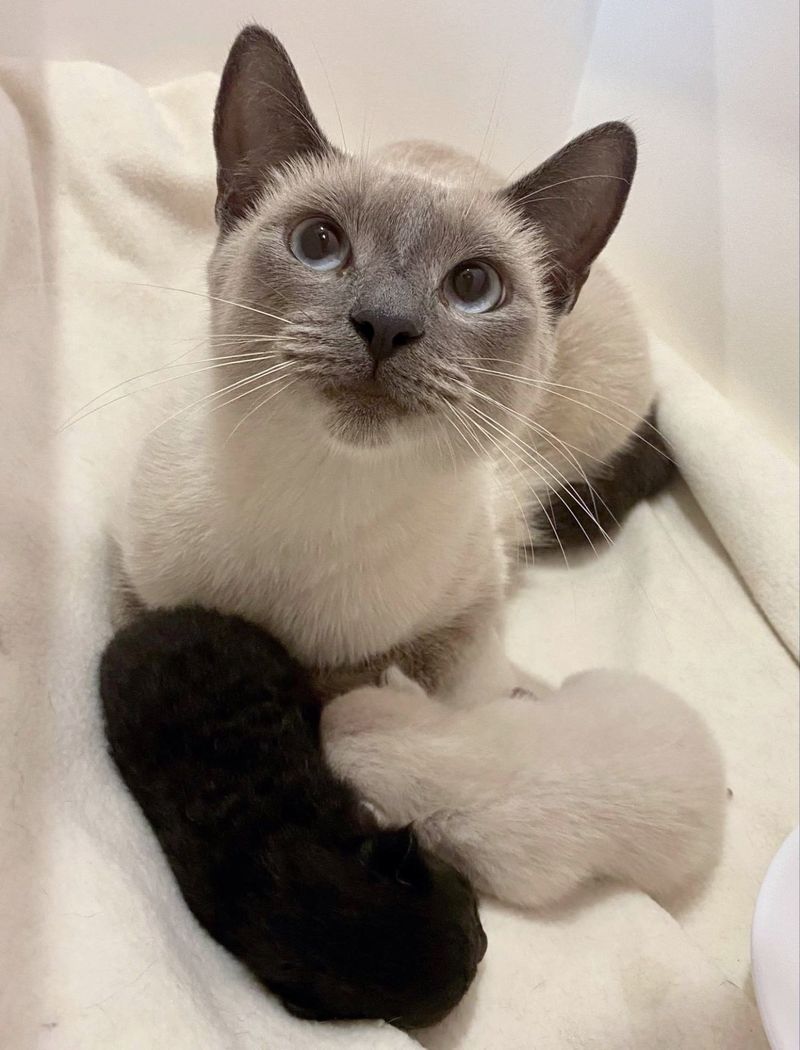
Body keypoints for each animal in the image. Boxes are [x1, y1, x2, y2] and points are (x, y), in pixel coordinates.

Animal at [117, 26, 667, 697]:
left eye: (474, 286)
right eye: (318, 244)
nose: (386, 325)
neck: (318, 501)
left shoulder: (463, 618)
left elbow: (398, 678)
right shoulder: (136, 582)